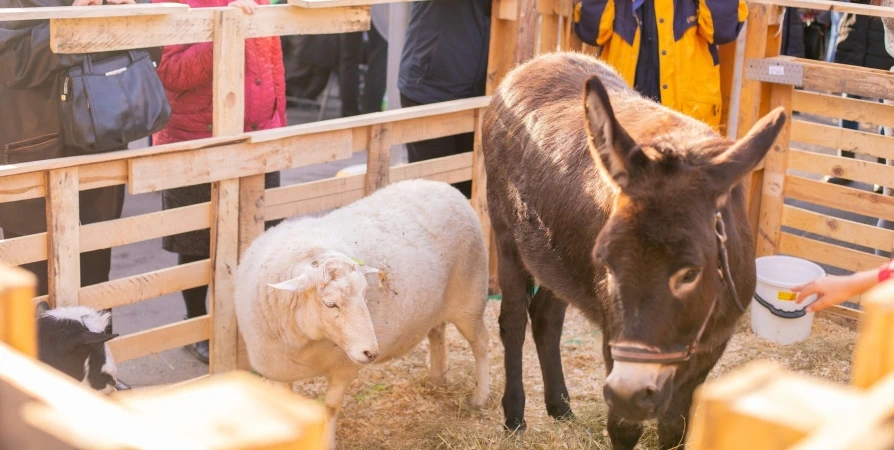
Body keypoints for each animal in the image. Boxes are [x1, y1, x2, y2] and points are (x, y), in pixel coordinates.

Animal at [234, 180, 494, 440]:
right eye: (330, 303)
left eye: (365, 293)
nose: (371, 353)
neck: (308, 343)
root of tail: (445, 187)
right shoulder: (280, 373)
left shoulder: (344, 368)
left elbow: (330, 408)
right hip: (436, 303)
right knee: (437, 331)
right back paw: (437, 377)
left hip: (469, 297)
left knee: (481, 343)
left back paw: (480, 397)